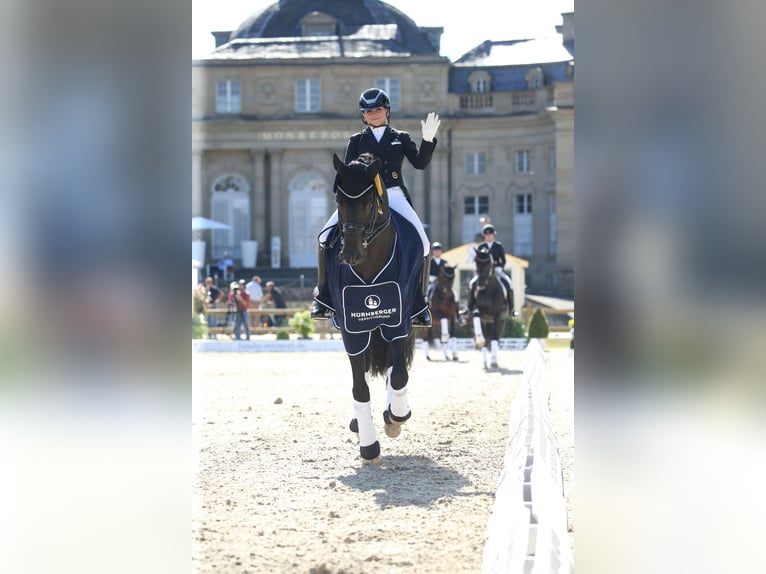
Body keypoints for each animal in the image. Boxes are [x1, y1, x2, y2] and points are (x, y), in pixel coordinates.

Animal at [320, 152, 426, 464]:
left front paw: (396, 417)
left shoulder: (397, 321)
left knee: (394, 368)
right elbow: (360, 386)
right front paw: (369, 445)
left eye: (369, 202)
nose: (350, 255)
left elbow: (399, 374)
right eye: (339, 201)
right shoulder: (352, 328)